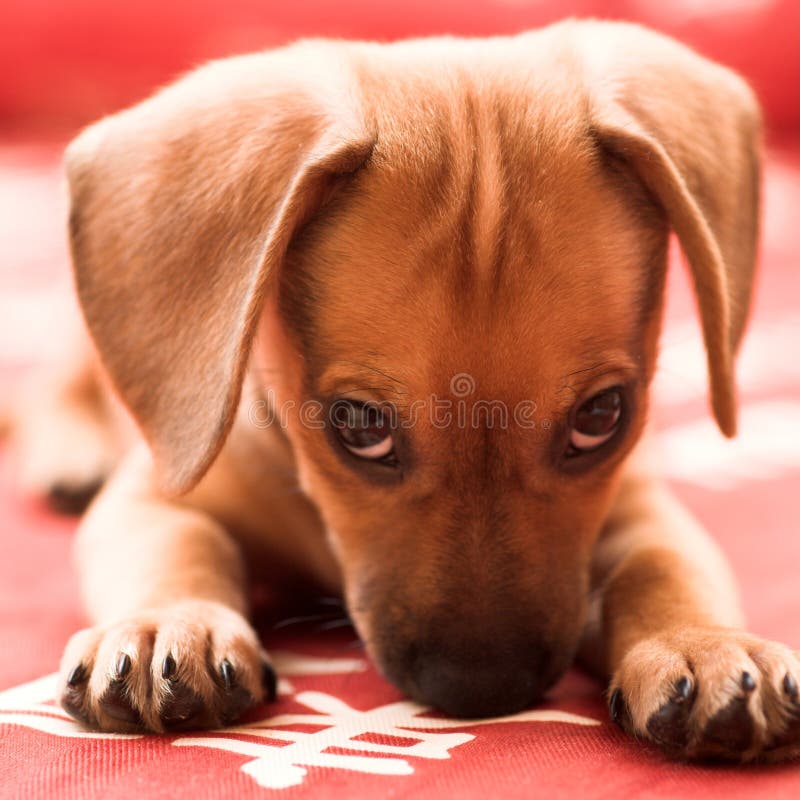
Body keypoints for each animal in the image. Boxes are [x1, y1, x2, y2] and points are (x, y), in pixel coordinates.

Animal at [14, 17, 800, 756]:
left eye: (601, 416)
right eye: (359, 426)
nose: (486, 691)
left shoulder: (638, 500)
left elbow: (661, 567)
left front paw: (703, 643)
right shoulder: (157, 496)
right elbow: (178, 547)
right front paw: (167, 624)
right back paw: (72, 452)